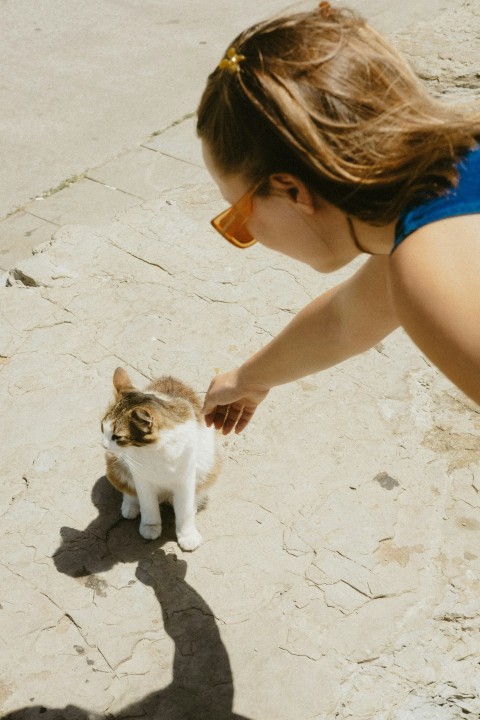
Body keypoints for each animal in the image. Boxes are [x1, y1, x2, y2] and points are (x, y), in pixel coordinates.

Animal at [102, 368, 222, 548]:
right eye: (102, 427)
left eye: (117, 437)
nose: (103, 445)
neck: (155, 451)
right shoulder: (142, 479)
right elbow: (148, 505)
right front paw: (150, 526)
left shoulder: (185, 479)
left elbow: (184, 511)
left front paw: (187, 534)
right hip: (115, 464)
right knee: (128, 489)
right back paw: (131, 505)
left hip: (209, 464)